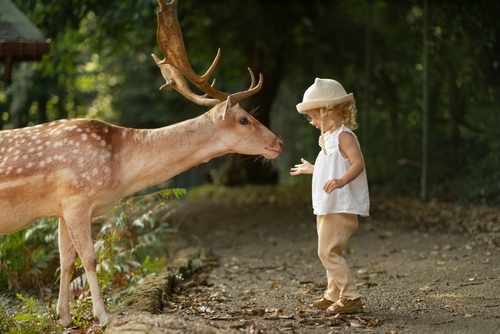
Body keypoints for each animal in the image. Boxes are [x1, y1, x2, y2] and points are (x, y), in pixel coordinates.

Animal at [0, 0, 284, 326]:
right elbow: (90, 258)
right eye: (244, 119)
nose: (278, 143)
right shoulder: (76, 199)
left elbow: (66, 259)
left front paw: (65, 318)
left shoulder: (60, 208)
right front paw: (103, 316)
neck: (120, 169)